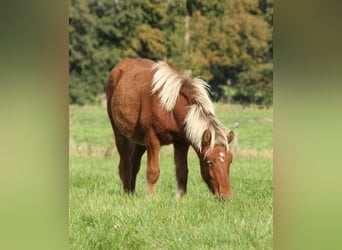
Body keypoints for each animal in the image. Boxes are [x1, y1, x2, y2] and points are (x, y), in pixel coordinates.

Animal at [107, 57, 234, 200]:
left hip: (140, 141)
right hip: (120, 134)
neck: (170, 108)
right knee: (125, 164)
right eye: (209, 162)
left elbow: (182, 171)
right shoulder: (152, 140)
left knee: (134, 164)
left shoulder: (181, 142)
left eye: (230, 160)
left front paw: (180, 197)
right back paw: (126, 193)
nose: (226, 196)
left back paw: (132, 192)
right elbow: (153, 171)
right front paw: (150, 197)